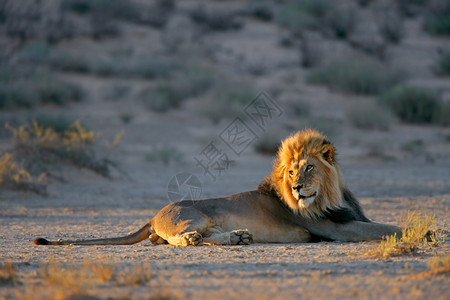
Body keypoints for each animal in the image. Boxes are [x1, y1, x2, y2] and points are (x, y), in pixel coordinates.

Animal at [34, 129, 400, 246]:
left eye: (308, 167)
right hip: (193, 215)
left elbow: (379, 224)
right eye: (291, 170)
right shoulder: (332, 229)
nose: (297, 188)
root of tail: (154, 214)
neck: (329, 196)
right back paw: (198, 239)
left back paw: (239, 237)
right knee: (178, 239)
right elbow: (387, 227)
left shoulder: (350, 218)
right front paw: (413, 231)